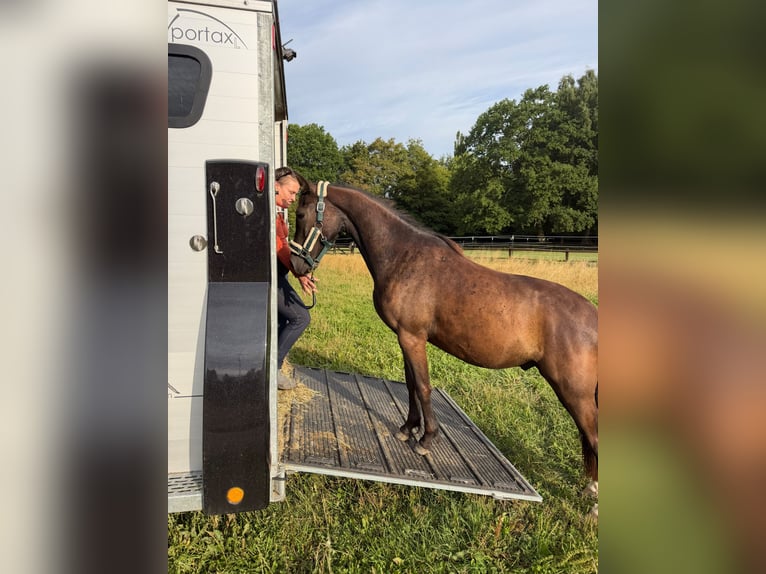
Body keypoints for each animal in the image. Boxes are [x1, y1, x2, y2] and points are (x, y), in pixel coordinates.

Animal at [289, 181, 598, 503]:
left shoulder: (412, 337)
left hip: (574, 392)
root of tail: (594, 316)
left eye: (300, 214)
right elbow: (411, 385)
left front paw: (426, 439)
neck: (405, 256)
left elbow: (423, 387)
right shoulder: (406, 337)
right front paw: (408, 428)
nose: (297, 264)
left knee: (594, 437)